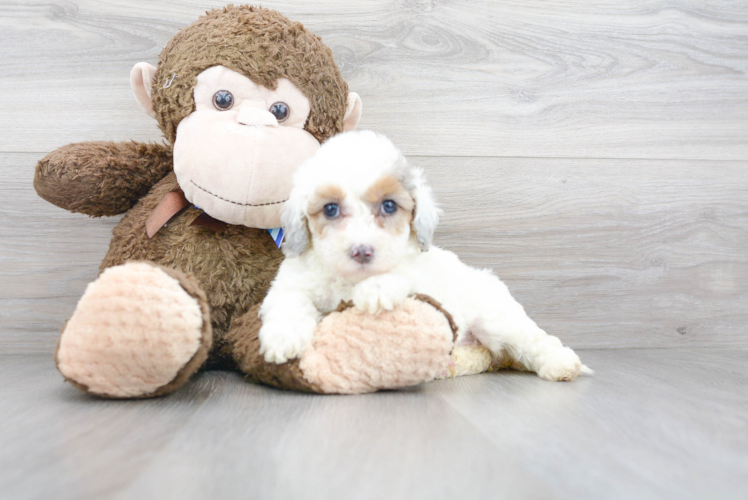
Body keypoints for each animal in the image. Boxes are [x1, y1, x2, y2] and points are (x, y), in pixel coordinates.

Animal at [262, 131, 592, 380]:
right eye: (330, 209)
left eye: (389, 206)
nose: (362, 251)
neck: (350, 281)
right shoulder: (293, 280)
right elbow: (288, 300)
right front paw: (282, 337)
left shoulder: (423, 278)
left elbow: (404, 273)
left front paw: (376, 289)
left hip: (497, 318)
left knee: (532, 340)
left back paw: (561, 364)